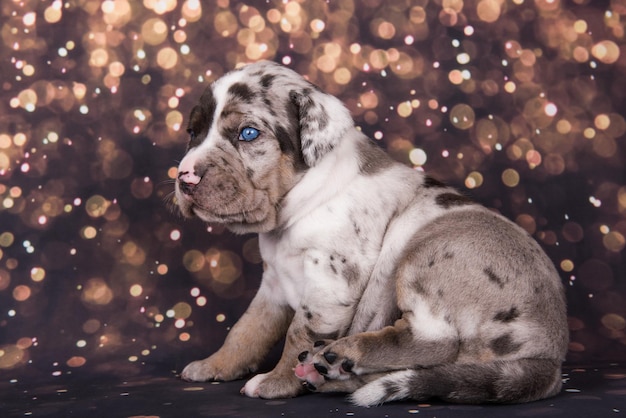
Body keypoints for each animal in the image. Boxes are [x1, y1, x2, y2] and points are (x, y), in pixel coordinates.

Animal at [174, 60, 564, 406]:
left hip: (426, 249)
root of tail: (550, 356)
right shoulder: (273, 286)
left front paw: (277, 382)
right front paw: (215, 365)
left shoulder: (330, 287)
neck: (298, 205)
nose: (185, 178)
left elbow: (299, 333)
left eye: (248, 133)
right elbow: (246, 330)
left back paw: (341, 356)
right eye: (192, 133)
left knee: (434, 340)